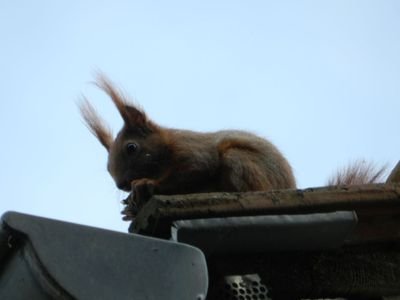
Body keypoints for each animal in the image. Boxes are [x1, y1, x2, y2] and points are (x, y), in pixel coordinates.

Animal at [79, 75, 296, 220]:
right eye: (107, 167)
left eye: (131, 147)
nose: (121, 185)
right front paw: (131, 207)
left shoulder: (191, 149)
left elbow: (195, 169)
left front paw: (146, 185)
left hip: (240, 161)